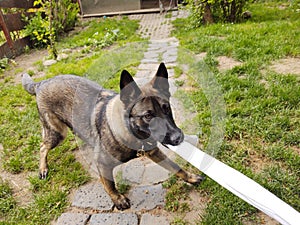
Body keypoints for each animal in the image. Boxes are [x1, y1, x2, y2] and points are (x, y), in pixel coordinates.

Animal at [22, 62, 203, 210]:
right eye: (148, 116)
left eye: (167, 108)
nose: (178, 137)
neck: (129, 131)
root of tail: (40, 83)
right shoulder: (103, 164)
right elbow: (110, 184)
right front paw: (118, 199)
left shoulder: (154, 152)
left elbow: (176, 167)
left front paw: (190, 177)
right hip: (57, 133)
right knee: (42, 146)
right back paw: (43, 168)